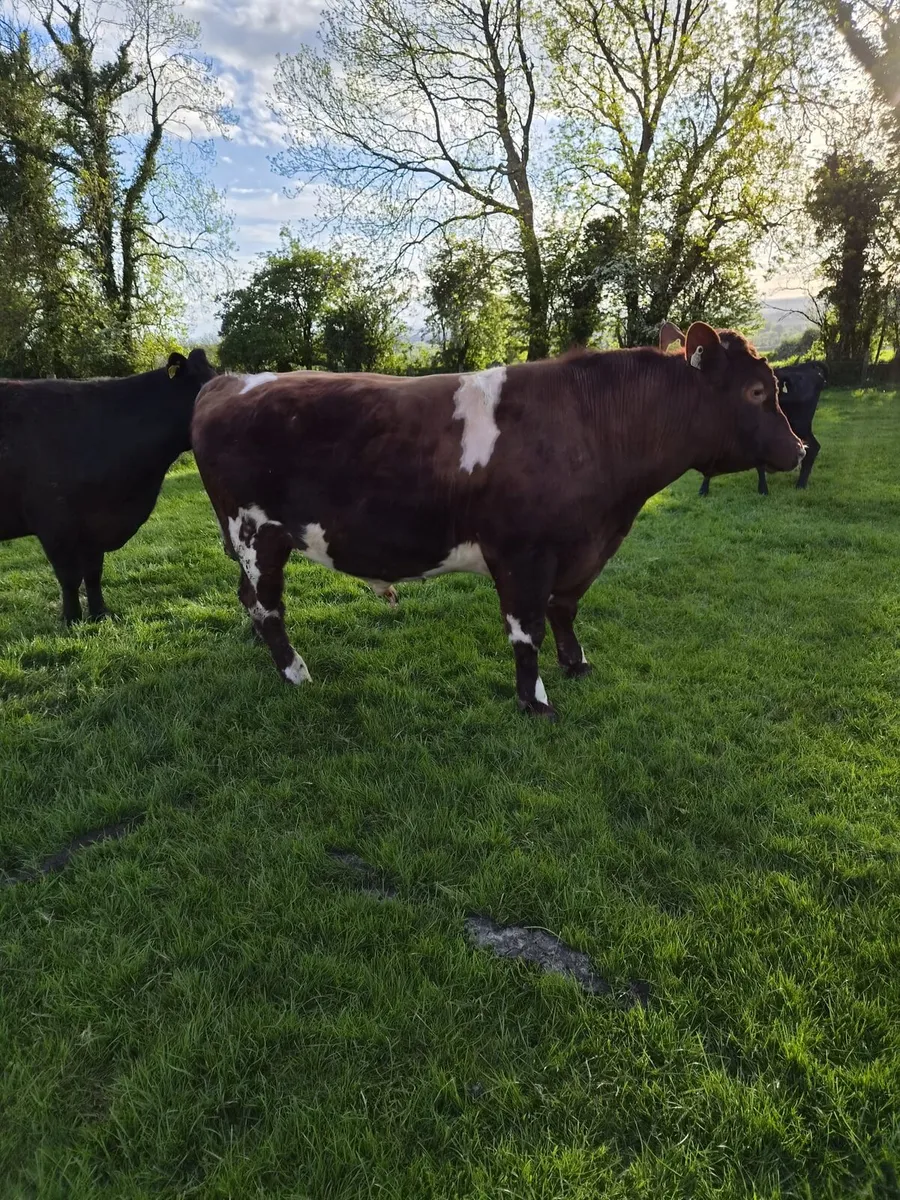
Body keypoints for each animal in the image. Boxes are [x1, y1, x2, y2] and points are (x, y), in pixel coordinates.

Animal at [0, 349, 216, 624]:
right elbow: (69, 578)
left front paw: (100, 614)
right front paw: (71, 618)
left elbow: (93, 573)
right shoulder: (54, 525)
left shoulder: (93, 526)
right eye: (203, 387)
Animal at [191, 322, 804, 719]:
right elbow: (526, 628)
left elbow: (565, 610)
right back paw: (295, 672)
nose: (798, 450)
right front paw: (535, 702)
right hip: (255, 531)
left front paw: (577, 664)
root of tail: (230, 381)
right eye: (756, 391)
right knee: (268, 606)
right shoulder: (522, 552)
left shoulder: (581, 550)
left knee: (250, 600)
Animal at [699, 361, 826, 496]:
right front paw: (703, 489)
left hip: (800, 424)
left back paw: (801, 484)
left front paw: (763, 489)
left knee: (813, 447)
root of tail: (805, 366)